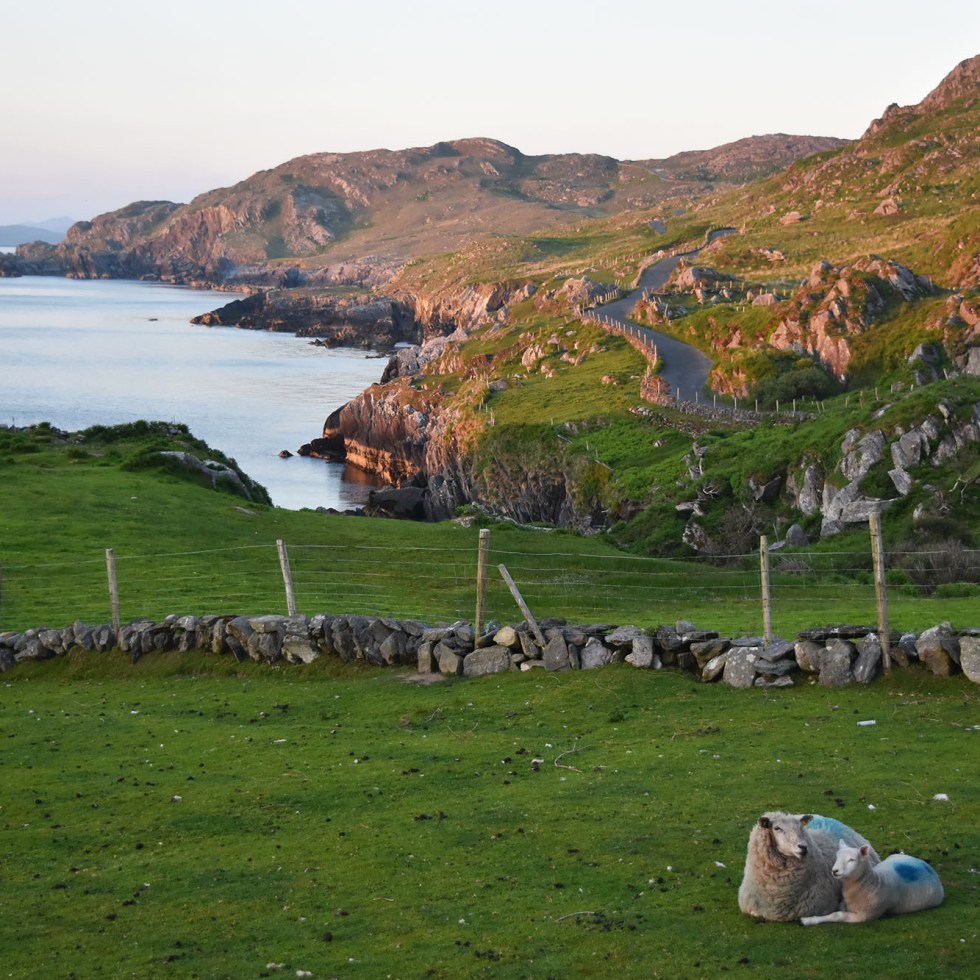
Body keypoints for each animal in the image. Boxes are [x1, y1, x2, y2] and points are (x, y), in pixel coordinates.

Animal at [801, 841, 943, 925]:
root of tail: (926, 865)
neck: (873, 883)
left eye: (852, 860)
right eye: (837, 857)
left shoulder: (864, 916)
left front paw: (808, 920)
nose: (834, 871)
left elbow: (837, 915)